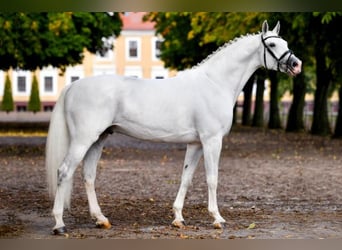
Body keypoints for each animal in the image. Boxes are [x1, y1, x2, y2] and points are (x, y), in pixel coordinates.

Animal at [45, 21, 302, 234]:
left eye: (286, 43)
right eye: (272, 44)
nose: (296, 64)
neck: (215, 82)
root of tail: (72, 86)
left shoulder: (196, 143)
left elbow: (186, 178)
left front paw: (178, 218)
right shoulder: (212, 141)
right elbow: (212, 178)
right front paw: (217, 218)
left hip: (98, 139)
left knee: (88, 176)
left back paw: (101, 219)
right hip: (83, 139)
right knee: (64, 171)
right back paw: (59, 224)